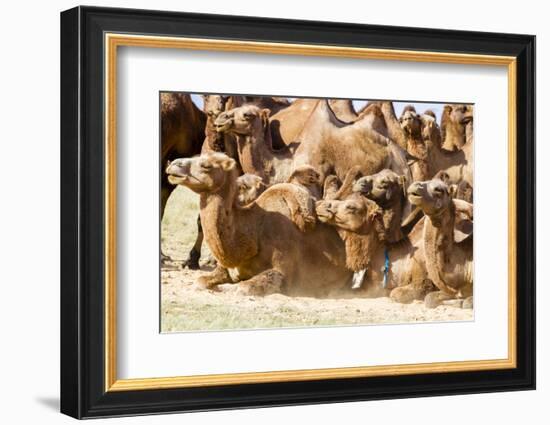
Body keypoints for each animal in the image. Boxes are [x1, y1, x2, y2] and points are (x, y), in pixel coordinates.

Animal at [166, 152, 352, 294]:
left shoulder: (283, 267)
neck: (254, 231)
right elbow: (200, 281)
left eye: (206, 165)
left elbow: (242, 288)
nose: (173, 164)